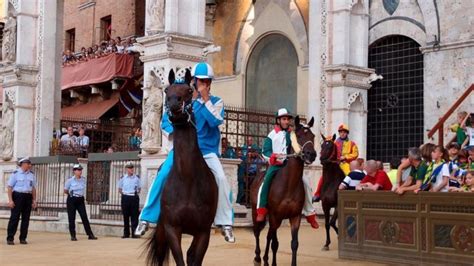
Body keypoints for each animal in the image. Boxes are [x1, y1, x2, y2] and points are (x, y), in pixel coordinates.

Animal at [146, 69, 218, 264]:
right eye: (166, 90)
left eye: (189, 90)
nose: (173, 103)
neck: (187, 180)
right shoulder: (171, 228)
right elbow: (179, 259)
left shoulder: (203, 231)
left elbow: (195, 258)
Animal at [250, 117, 316, 266]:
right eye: (299, 135)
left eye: (313, 136)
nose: (312, 154)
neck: (289, 185)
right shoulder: (275, 216)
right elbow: (274, 242)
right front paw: (268, 261)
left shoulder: (295, 217)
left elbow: (294, 243)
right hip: (256, 212)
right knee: (257, 232)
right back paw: (258, 257)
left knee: (268, 235)